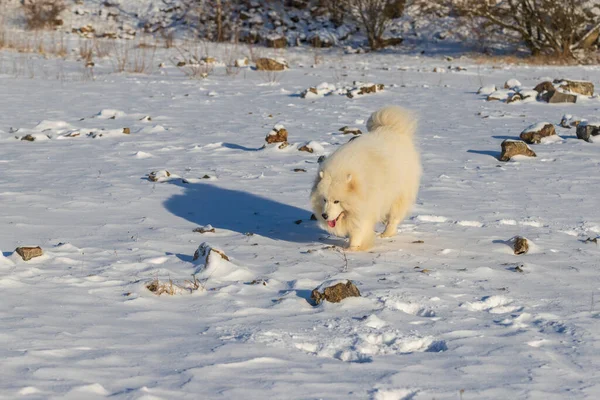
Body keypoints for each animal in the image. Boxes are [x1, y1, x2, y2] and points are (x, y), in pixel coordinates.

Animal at [310, 105, 422, 250]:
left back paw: (386, 234)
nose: (325, 215)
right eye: (324, 199)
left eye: (337, 201)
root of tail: (391, 128)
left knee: (394, 218)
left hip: (399, 194)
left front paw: (352, 249)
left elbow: (358, 231)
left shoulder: (365, 208)